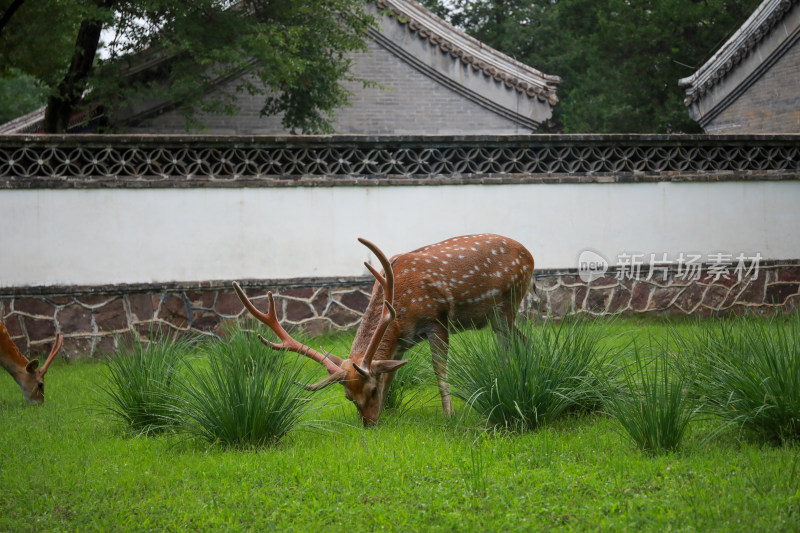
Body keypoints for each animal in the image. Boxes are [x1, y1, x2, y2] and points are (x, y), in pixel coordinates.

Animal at [234, 233, 536, 424]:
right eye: (348, 397)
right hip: (500, 316)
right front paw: (390, 413)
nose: (369, 424)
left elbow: (440, 371)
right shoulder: (402, 341)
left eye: (371, 391)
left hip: (508, 302)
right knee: (522, 339)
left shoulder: (437, 320)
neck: (401, 312)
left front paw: (449, 415)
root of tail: (530, 255)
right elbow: (391, 374)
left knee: (511, 344)